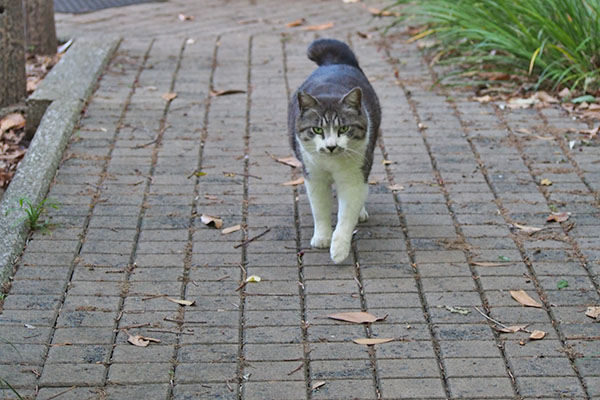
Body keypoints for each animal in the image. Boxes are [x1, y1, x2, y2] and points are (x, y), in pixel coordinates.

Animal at [290, 37, 382, 262]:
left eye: (344, 128)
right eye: (317, 129)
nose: (331, 146)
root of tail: (334, 63)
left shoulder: (354, 176)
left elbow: (347, 213)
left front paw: (339, 248)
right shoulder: (313, 176)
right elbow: (320, 209)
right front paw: (322, 237)